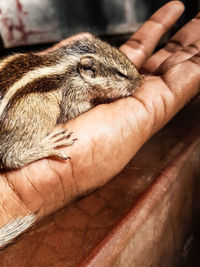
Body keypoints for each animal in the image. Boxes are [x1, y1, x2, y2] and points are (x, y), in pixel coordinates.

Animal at [0, 35, 142, 170]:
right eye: (121, 74)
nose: (140, 81)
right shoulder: (72, 96)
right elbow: (76, 110)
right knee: (10, 157)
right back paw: (50, 144)